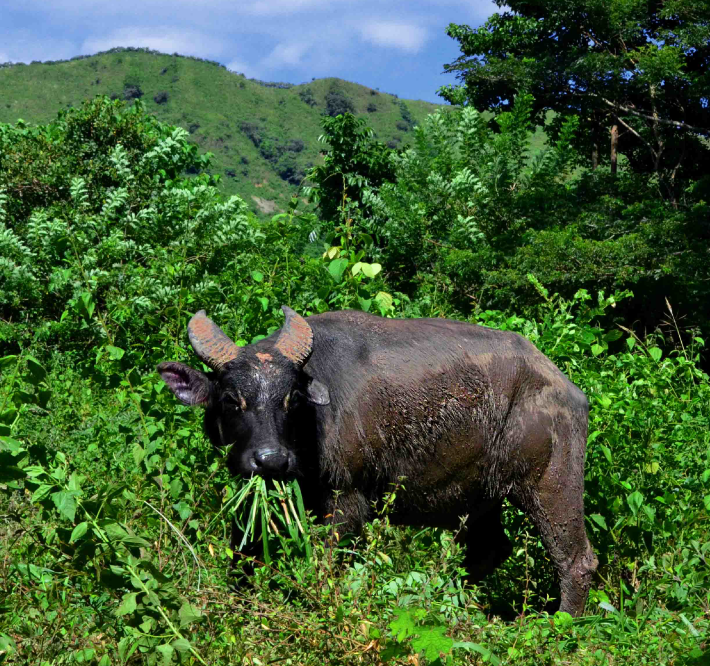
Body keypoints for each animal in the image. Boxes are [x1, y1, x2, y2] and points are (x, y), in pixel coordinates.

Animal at [159, 304, 596, 612]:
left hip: (551, 483)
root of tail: (566, 387)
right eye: (231, 400)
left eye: (292, 399)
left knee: (576, 559)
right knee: (489, 550)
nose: (271, 460)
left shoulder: (347, 503)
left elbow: (325, 562)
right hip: (482, 499)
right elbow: (244, 554)